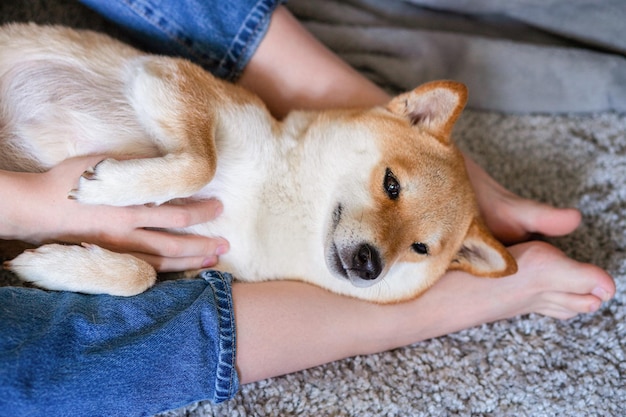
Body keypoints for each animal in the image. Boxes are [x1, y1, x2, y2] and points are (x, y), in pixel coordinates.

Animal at [0, 23, 516, 302]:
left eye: (419, 249)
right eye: (392, 185)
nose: (371, 266)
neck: (272, 208)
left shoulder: (191, 264)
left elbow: (141, 275)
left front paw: (52, 265)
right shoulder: (168, 76)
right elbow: (200, 165)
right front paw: (108, 190)